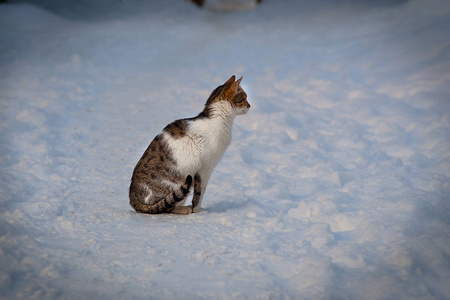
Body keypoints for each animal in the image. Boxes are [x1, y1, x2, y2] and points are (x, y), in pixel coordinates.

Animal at [129, 76, 250, 214]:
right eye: (244, 98)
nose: (250, 105)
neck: (218, 119)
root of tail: (133, 198)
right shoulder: (204, 169)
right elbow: (199, 193)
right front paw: (197, 211)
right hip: (177, 182)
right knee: (166, 207)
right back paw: (184, 209)